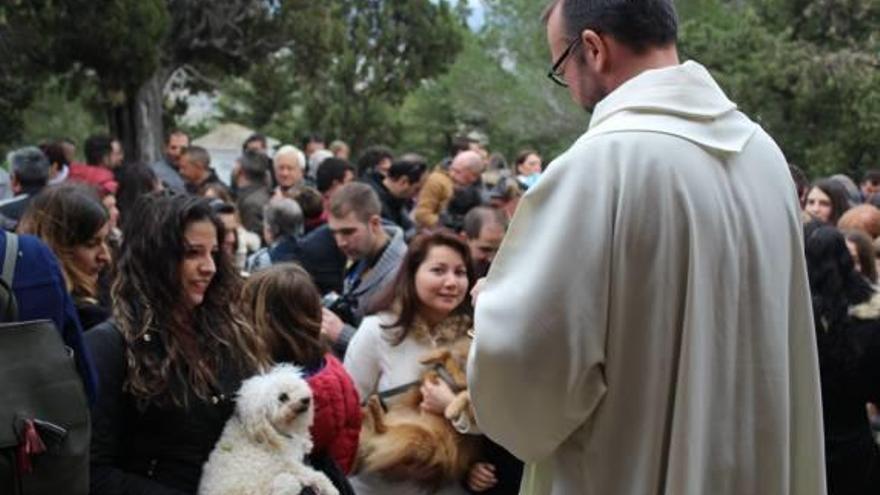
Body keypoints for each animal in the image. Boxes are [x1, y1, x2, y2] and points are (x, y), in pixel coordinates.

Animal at [199, 364, 336, 495]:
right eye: (282, 397)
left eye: (296, 387)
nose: (306, 399)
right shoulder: (288, 464)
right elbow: (316, 475)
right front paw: (330, 488)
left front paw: (305, 442)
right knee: (289, 483)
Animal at [354, 338, 482, 488]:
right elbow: (445, 353)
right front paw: (427, 358)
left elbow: (465, 394)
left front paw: (453, 407)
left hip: (422, 439)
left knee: (382, 429)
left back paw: (373, 408)